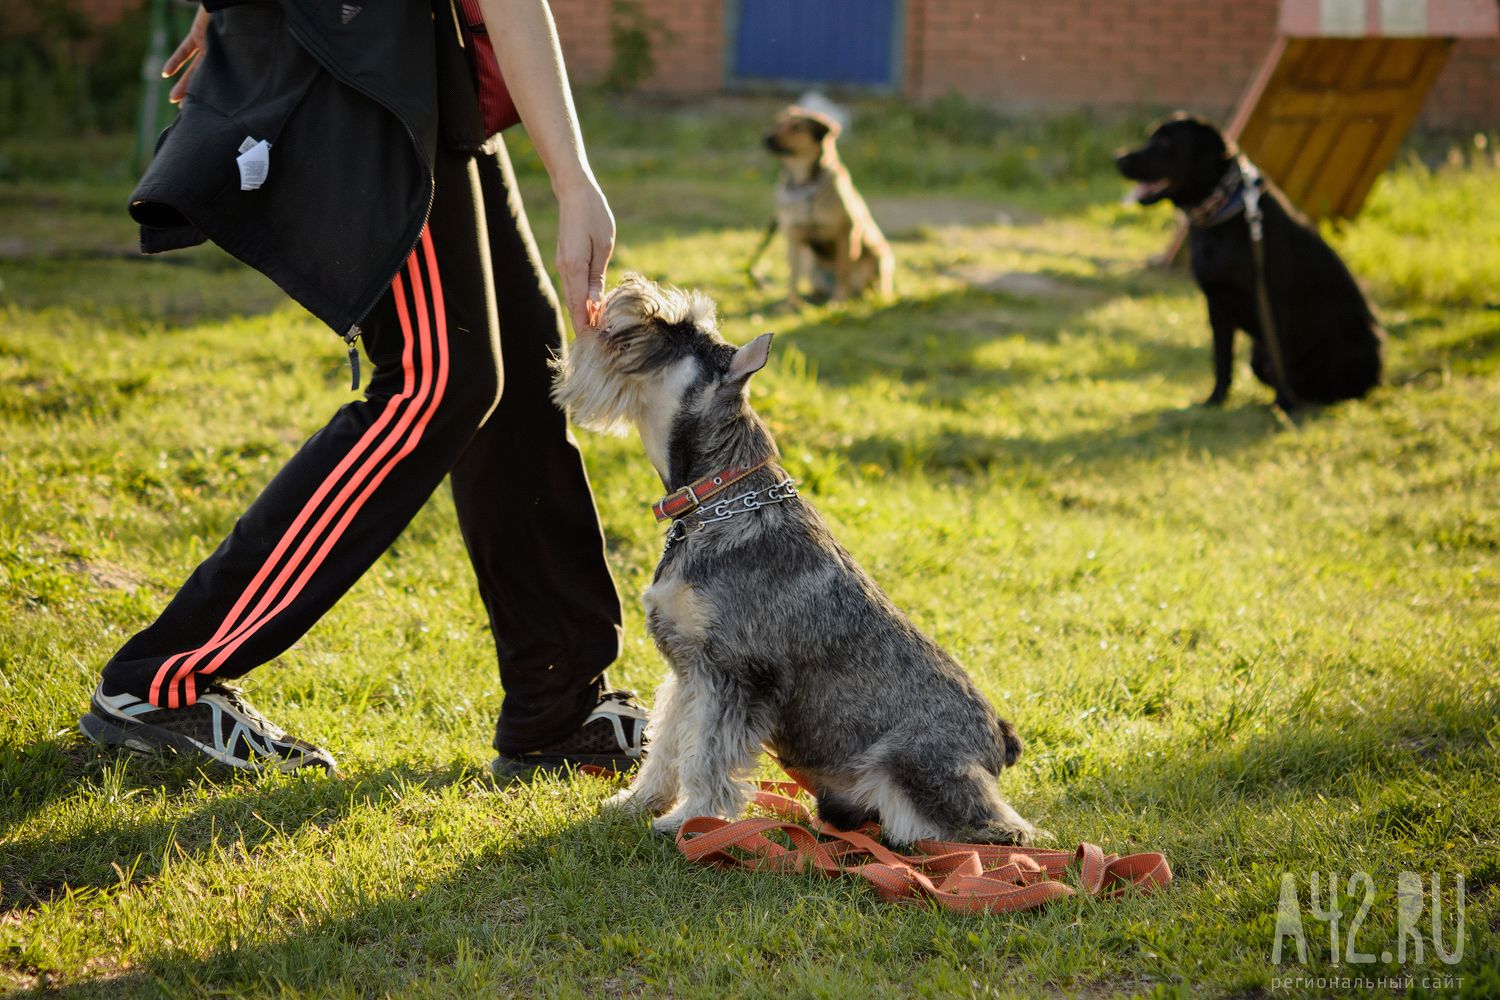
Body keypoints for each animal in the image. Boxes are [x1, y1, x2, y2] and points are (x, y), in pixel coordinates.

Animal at [552, 274, 1032, 845]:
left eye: (679, 328)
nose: (623, 293)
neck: (718, 497)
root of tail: (1000, 743)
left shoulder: (734, 675)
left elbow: (708, 756)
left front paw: (692, 820)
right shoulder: (690, 671)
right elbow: (668, 744)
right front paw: (638, 801)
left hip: (911, 771)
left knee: (996, 831)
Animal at [762, 106, 888, 307]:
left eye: (797, 128)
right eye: (777, 123)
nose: (766, 137)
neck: (803, 183)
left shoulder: (845, 234)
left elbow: (843, 271)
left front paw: (839, 300)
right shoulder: (793, 237)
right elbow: (792, 277)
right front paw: (790, 305)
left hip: (878, 256)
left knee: (867, 287)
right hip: (812, 266)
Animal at [1116, 117, 1380, 410]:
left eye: (1164, 143)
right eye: (1150, 137)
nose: (1119, 158)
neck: (1221, 218)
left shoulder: (1273, 304)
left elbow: (1278, 359)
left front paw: (1284, 405)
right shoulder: (1216, 305)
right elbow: (1222, 360)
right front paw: (1215, 400)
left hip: (1355, 340)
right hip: (1257, 355)